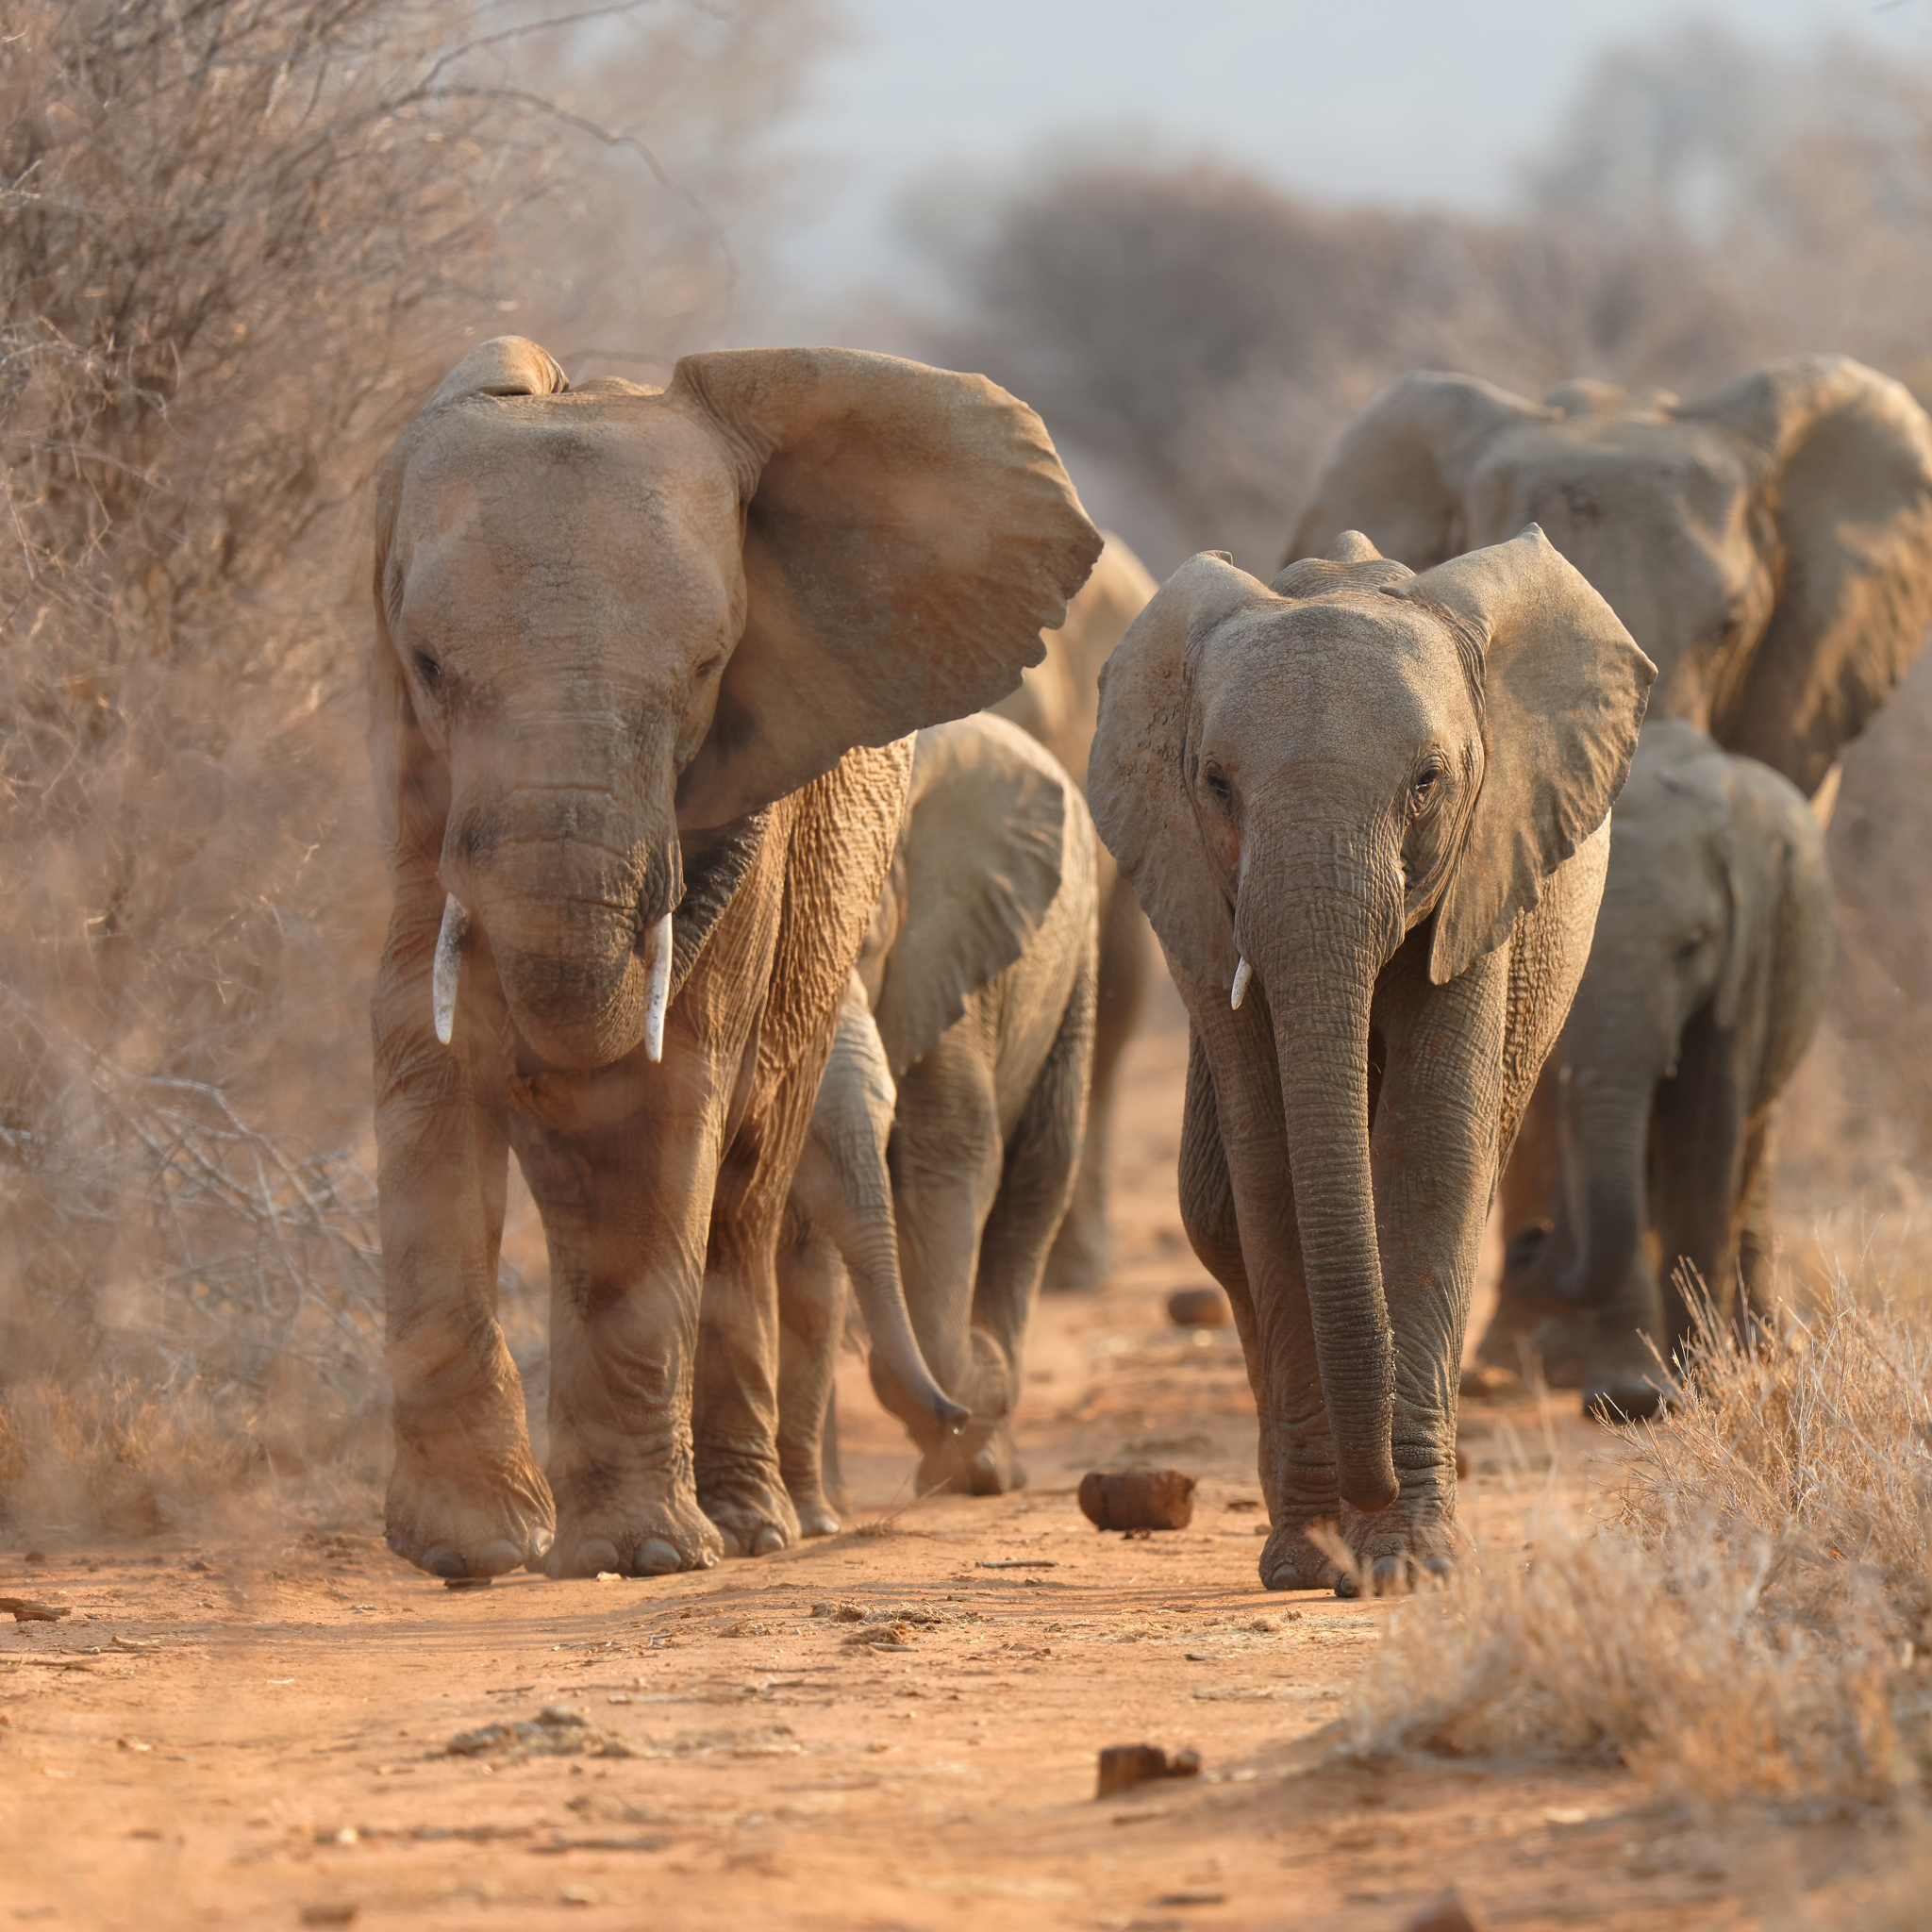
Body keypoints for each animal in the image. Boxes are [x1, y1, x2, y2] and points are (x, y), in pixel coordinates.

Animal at [775, 713, 1098, 1528]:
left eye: (861, 945)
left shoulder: (950, 953)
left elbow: (947, 1156)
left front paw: (972, 1437)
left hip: (1073, 964)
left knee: (1040, 1176)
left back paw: (994, 1457)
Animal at [1089, 526, 1654, 1592]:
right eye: (1215, 783)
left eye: (1427, 780)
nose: (1374, 1486)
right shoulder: (1203, 890)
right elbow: (1273, 1169)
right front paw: (1310, 1561)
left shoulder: (1485, 870)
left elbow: (1431, 1155)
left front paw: (1412, 1559)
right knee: (1215, 1208)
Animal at [1499, 720, 1833, 1419]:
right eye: (1571, 953)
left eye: (1691, 947)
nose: (1531, 1238)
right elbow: (1584, 1137)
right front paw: (1628, 1398)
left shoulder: (1749, 949)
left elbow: (1705, 1130)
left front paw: (1700, 1386)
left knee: (1750, 1147)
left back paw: (1761, 1352)